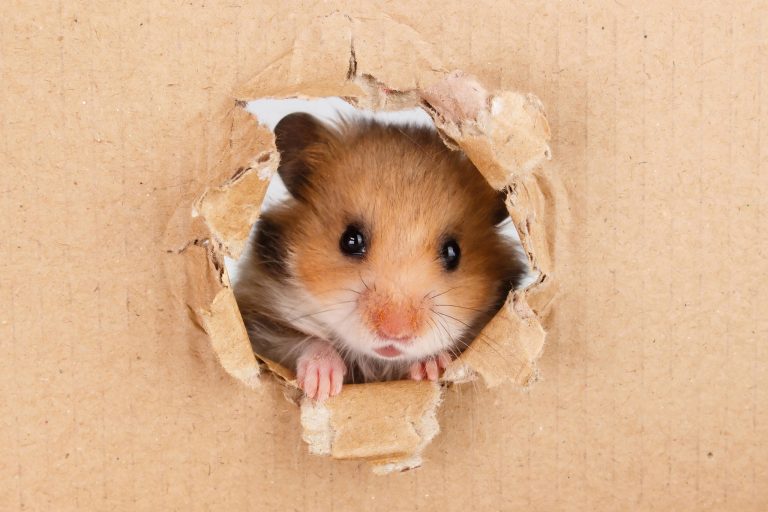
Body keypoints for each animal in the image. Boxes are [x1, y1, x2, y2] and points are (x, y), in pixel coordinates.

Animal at [233, 112, 525, 401]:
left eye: (453, 252)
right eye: (350, 240)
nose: (395, 333)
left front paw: (430, 367)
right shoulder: (260, 323)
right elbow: (305, 341)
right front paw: (323, 385)